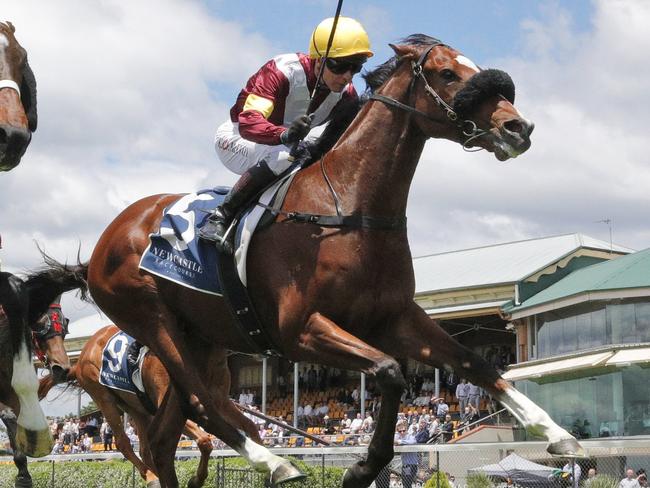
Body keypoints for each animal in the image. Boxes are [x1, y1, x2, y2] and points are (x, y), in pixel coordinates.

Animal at [40, 324, 218, 488]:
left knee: (145, 450)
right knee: (123, 442)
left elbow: (205, 439)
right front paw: (195, 480)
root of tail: (79, 361)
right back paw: (152, 477)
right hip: (102, 396)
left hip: (137, 409)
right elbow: (204, 440)